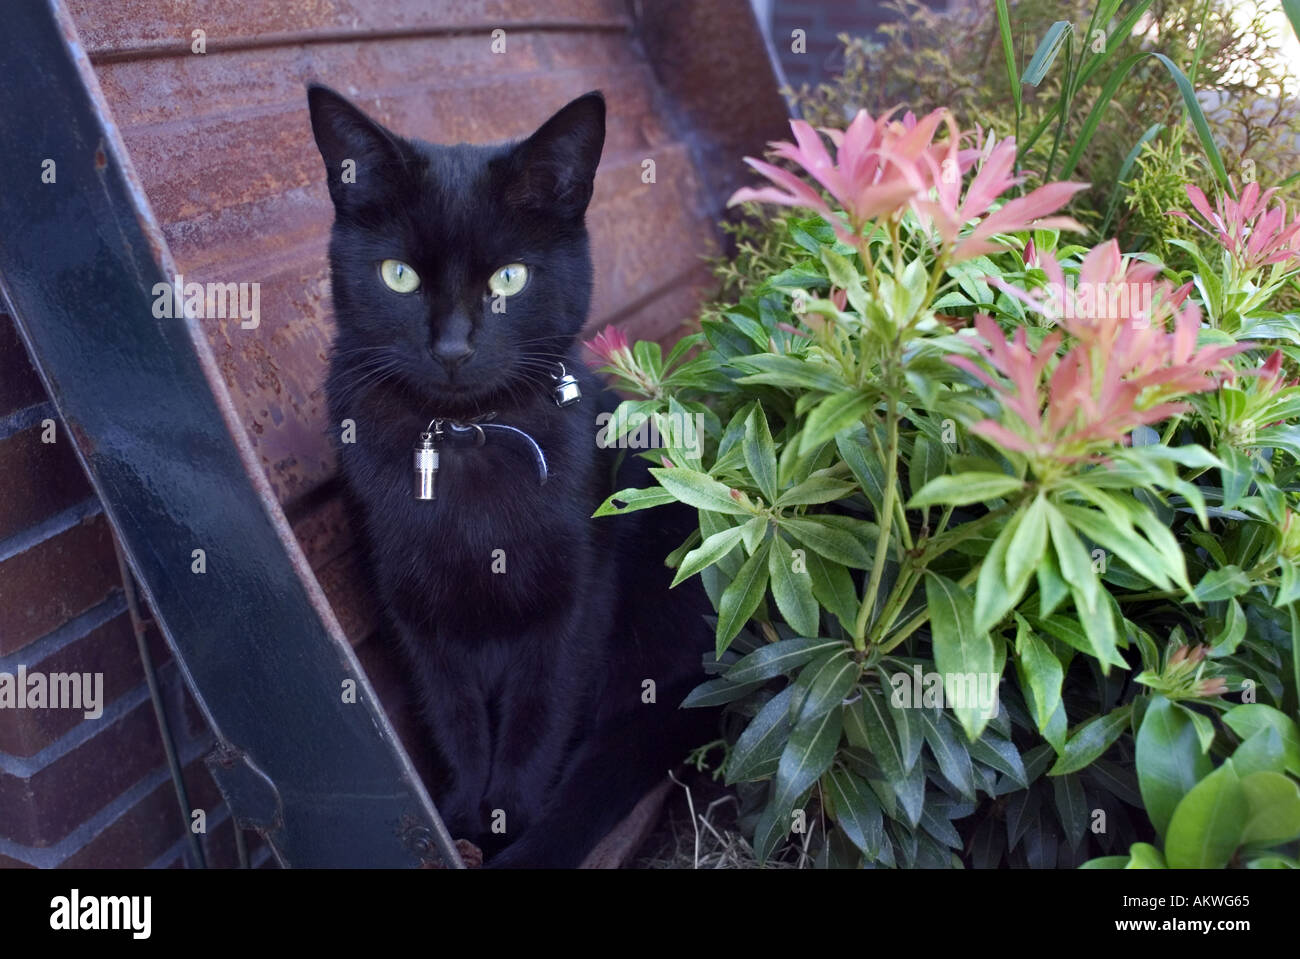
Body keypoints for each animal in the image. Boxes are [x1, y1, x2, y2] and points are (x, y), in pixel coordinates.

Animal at [308, 85, 717, 862]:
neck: (467, 438)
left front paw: (511, 817)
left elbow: (540, 710)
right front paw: (468, 812)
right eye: (399, 276)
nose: (452, 348)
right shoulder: (410, 606)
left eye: (509, 278)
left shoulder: (578, 594)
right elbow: (453, 712)